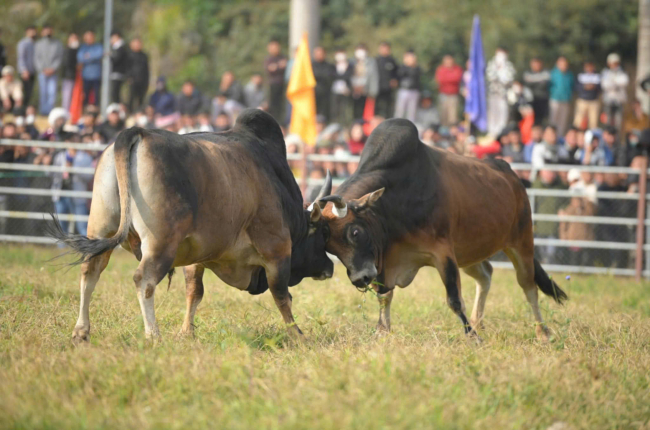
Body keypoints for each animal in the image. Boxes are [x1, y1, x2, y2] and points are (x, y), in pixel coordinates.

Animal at [316, 117, 564, 340]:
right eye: (330, 247)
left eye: (355, 232)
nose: (360, 278)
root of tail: (512, 175)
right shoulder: (385, 262)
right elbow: (384, 296)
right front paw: (382, 332)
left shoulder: (442, 253)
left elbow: (454, 300)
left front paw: (471, 336)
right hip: (469, 253)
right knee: (486, 275)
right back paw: (479, 322)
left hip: (521, 242)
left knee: (528, 287)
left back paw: (543, 332)